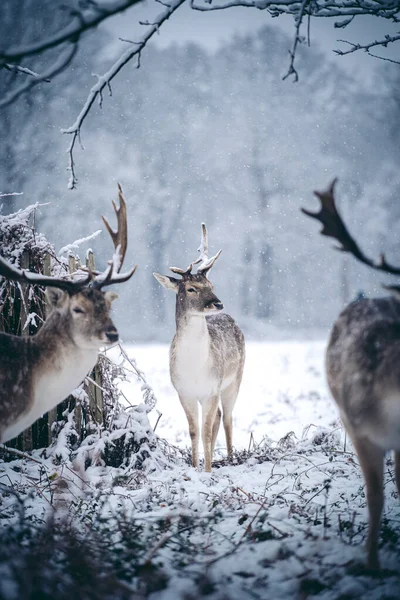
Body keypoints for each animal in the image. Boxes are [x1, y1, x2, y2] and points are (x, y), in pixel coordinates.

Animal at [154, 223, 245, 472]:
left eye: (211, 285)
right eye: (191, 289)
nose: (218, 303)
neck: (195, 367)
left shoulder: (211, 389)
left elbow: (205, 432)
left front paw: (207, 470)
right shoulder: (183, 391)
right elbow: (194, 432)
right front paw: (196, 466)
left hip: (235, 379)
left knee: (228, 417)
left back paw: (231, 458)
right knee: (220, 417)